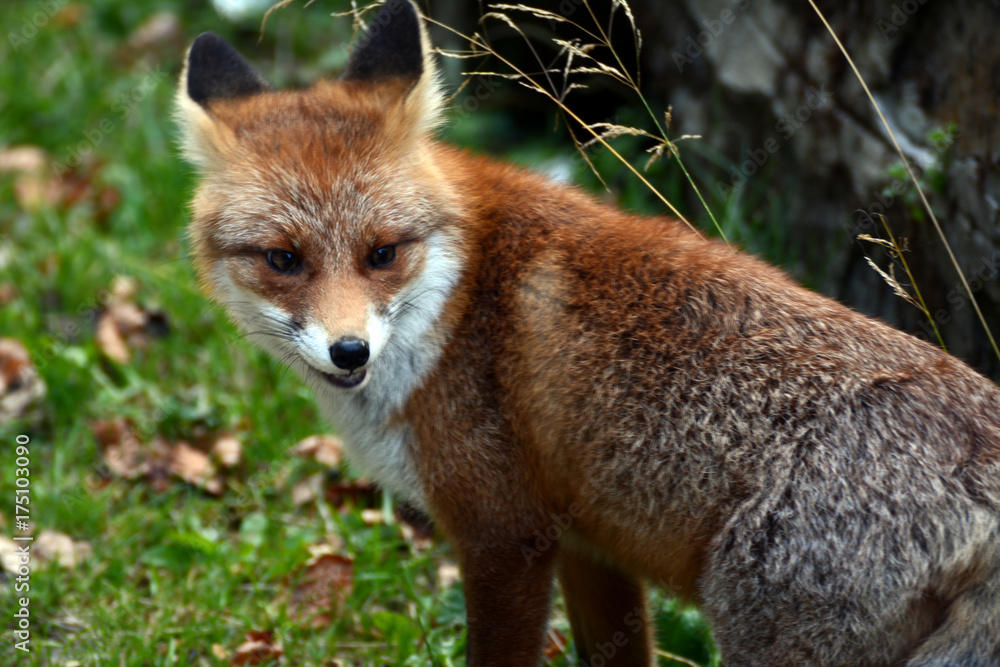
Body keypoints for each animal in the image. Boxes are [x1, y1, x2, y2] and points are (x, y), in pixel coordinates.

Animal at [175, 1, 1000, 665]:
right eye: (284, 259)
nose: (351, 350)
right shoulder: (585, 545)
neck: (454, 298)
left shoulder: (504, 538)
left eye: (383, 252)